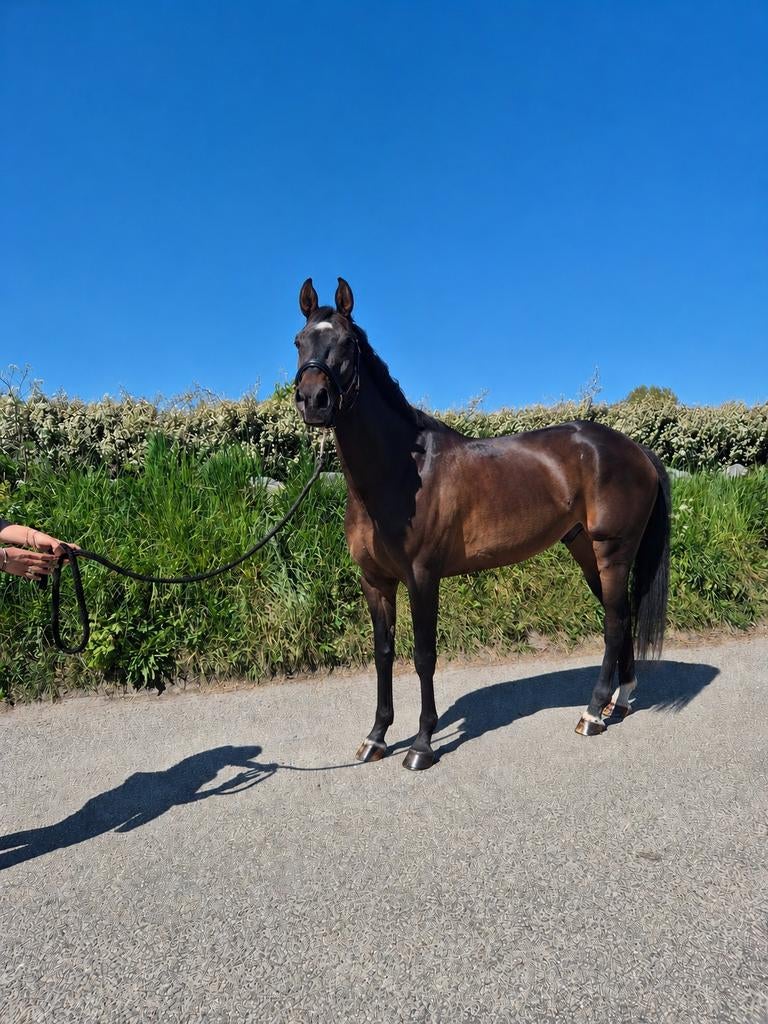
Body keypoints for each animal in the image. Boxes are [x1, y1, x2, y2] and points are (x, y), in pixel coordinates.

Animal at [293, 278, 670, 771]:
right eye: (299, 342)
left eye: (347, 343)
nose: (313, 400)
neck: (400, 471)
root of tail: (636, 450)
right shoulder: (375, 581)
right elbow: (383, 653)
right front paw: (376, 738)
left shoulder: (422, 577)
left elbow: (423, 656)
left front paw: (421, 745)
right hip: (586, 550)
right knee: (620, 616)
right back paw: (618, 703)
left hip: (613, 551)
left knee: (615, 619)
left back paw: (592, 713)